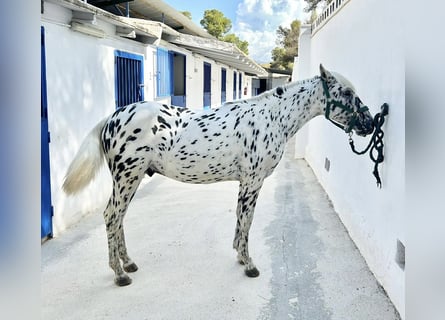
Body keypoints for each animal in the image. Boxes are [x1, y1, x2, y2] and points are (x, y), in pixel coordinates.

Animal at [63, 63, 374, 286]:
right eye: (347, 93)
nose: (369, 124)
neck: (273, 118)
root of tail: (113, 117)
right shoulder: (253, 180)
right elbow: (247, 219)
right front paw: (249, 265)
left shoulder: (246, 182)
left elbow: (240, 218)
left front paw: (239, 255)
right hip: (127, 177)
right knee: (112, 216)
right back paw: (120, 274)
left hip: (132, 178)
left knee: (118, 218)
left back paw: (128, 263)